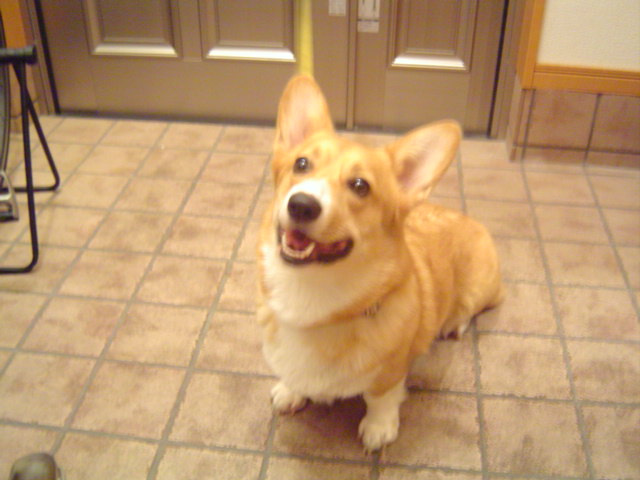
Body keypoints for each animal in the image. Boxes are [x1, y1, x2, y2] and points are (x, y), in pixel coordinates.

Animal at [257, 75, 503, 451]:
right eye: (301, 164)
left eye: (360, 185)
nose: (301, 204)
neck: (311, 295)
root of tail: (469, 218)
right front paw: (291, 390)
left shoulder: (391, 369)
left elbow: (380, 397)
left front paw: (379, 429)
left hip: (477, 288)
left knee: (467, 309)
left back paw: (454, 324)